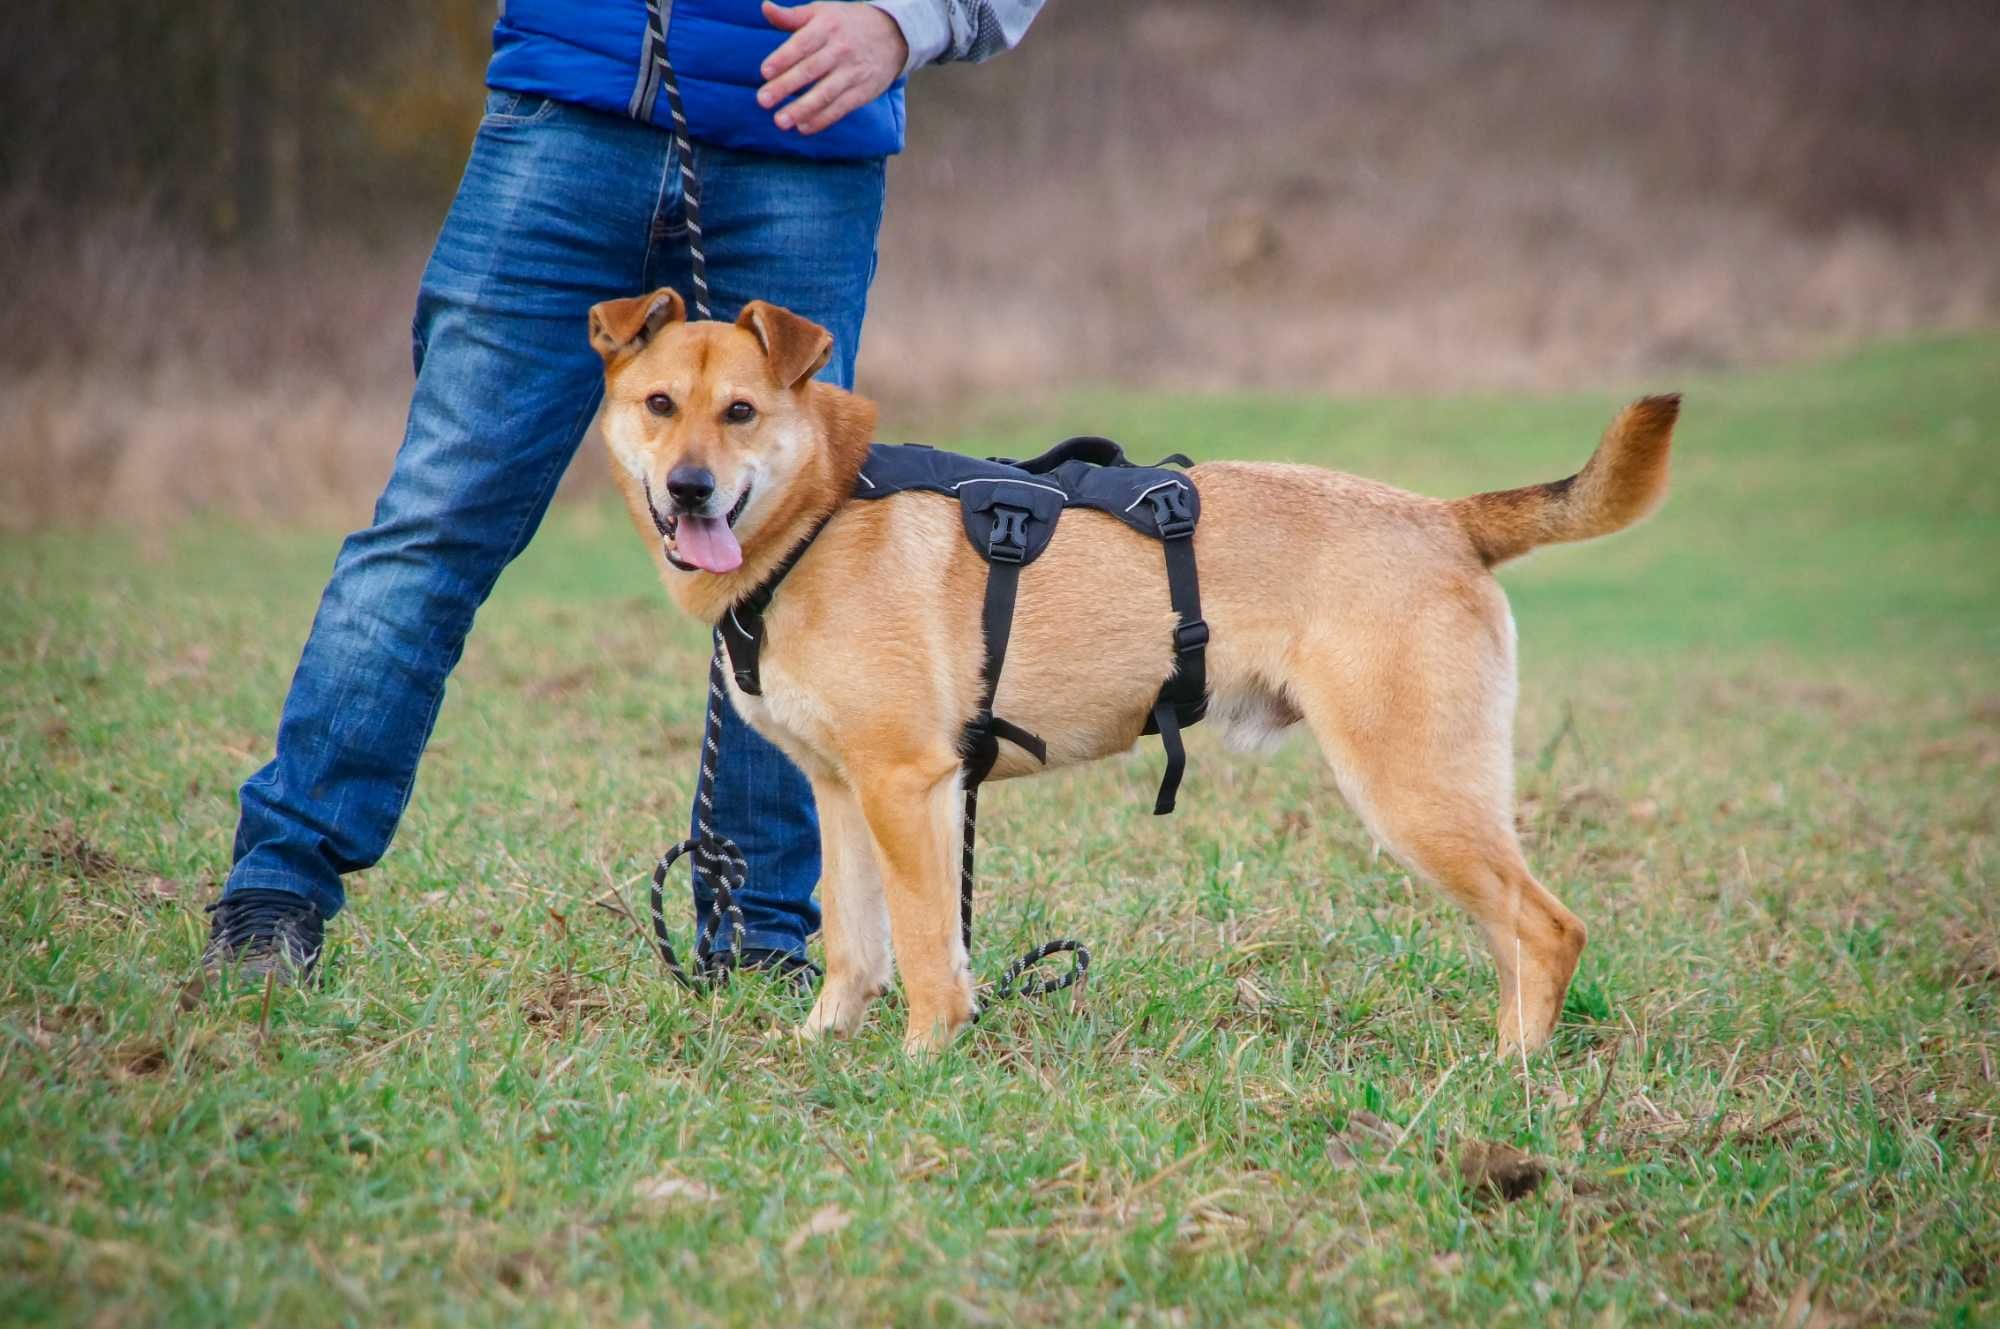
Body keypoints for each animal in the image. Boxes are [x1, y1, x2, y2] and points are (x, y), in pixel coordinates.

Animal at [584, 294, 1680, 1056]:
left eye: (740, 411)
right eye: (658, 404)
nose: (690, 489)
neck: (817, 514)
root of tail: (1446, 517)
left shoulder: (908, 786)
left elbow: (931, 950)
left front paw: (923, 1060)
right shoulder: (844, 792)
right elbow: (859, 946)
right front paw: (825, 1045)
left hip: (1413, 792)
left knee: (1548, 929)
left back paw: (1507, 1075)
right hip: (1440, 800)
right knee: (1514, 933)